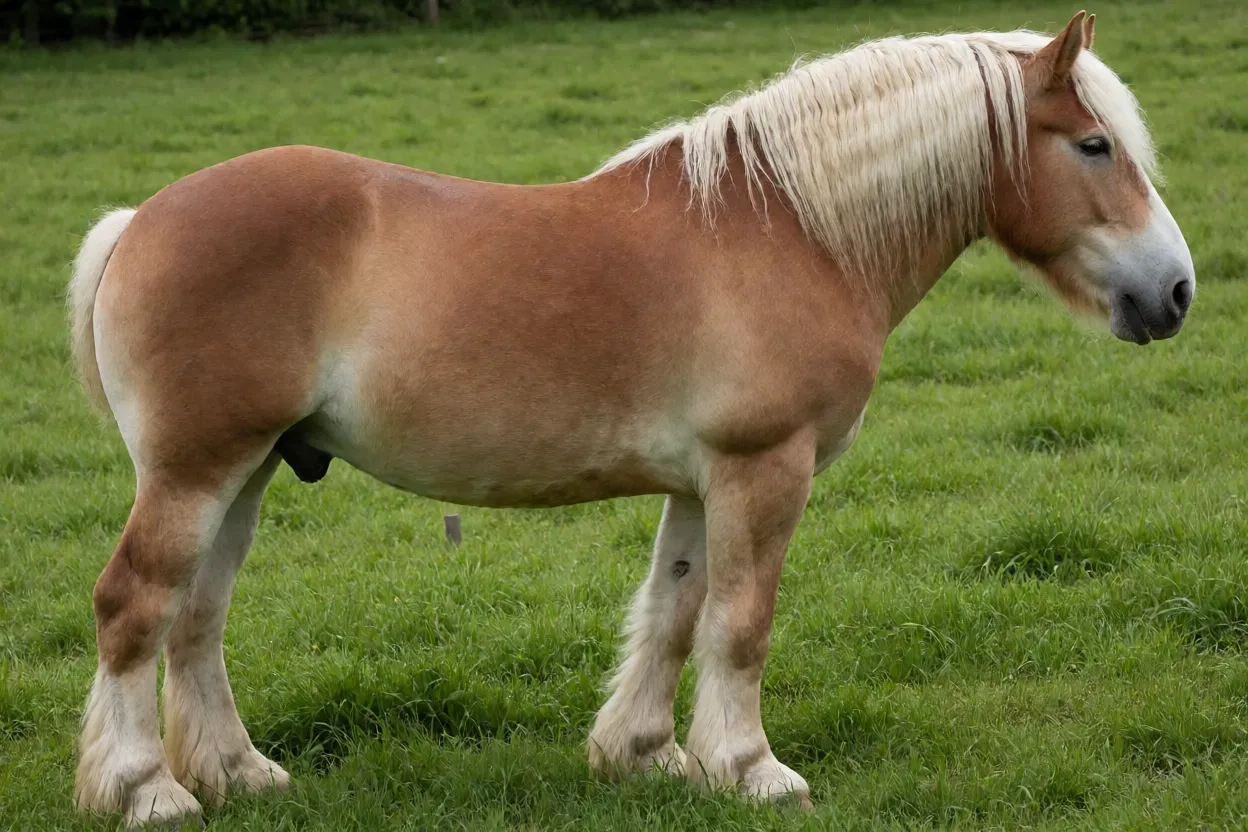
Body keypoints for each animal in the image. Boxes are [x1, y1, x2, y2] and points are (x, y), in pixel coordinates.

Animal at [67, 11, 1194, 825]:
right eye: (1094, 144)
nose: (1175, 293)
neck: (794, 228)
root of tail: (140, 220)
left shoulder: (703, 482)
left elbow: (676, 609)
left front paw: (645, 755)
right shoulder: (764, 467)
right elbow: (740, 623)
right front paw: (752, 767)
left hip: (248, 470)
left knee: (197, 619)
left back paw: (237, 772)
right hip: (195, 471)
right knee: (134, 606)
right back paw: (148, 791)